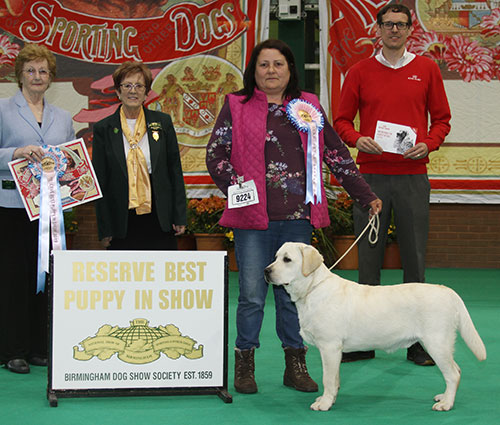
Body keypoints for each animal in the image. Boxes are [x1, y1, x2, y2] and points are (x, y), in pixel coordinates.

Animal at [264, 242, 486, 410]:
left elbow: (328, 378)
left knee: (453, 373)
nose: (266, 271)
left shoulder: (329, 346)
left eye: (287, 259)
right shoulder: (334, 351)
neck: (312, 289)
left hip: (436, 343)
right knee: (456, 370)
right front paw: (330, 399)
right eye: (275, 257)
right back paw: (444, 397)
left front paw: (324, 404)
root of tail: (447, 290)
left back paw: (446, 404)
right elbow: (335, 379)